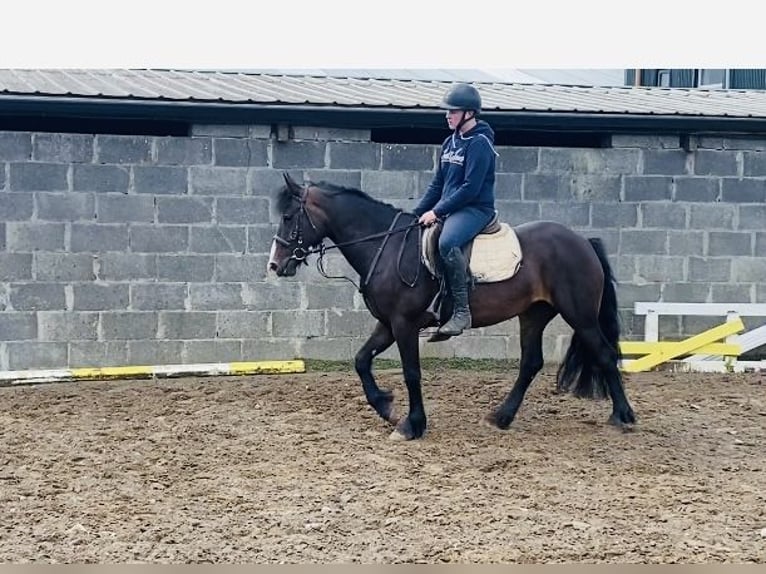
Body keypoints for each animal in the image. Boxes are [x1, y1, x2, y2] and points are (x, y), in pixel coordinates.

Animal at [268, 173, 640, 444]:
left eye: (288, 216)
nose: (275, 265)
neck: (386, 246)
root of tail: (582, 241)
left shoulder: (404, 324)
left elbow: (411, 373)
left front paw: (411, 425)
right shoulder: (387, 324)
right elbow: (361, 361)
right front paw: (386, 407)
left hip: (580, 315)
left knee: (605, 355)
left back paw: (623, 417)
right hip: (533, 314)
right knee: (531, 363)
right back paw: (501, 417)